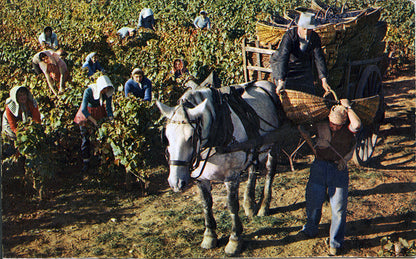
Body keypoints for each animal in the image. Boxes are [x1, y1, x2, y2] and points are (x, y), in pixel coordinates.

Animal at [156, 80, 286, 256]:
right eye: (167, 137)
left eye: (191, 137)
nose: (176, 182)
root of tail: (265, 83)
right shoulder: (201, 179)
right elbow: (206, 204)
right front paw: (209, 236)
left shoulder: (231, 176)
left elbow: (231, 205)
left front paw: (235, 239)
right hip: (254, 146)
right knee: (253, 169)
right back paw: (249, 204)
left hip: (274, 145)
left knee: (270, 171)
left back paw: (264, 206)